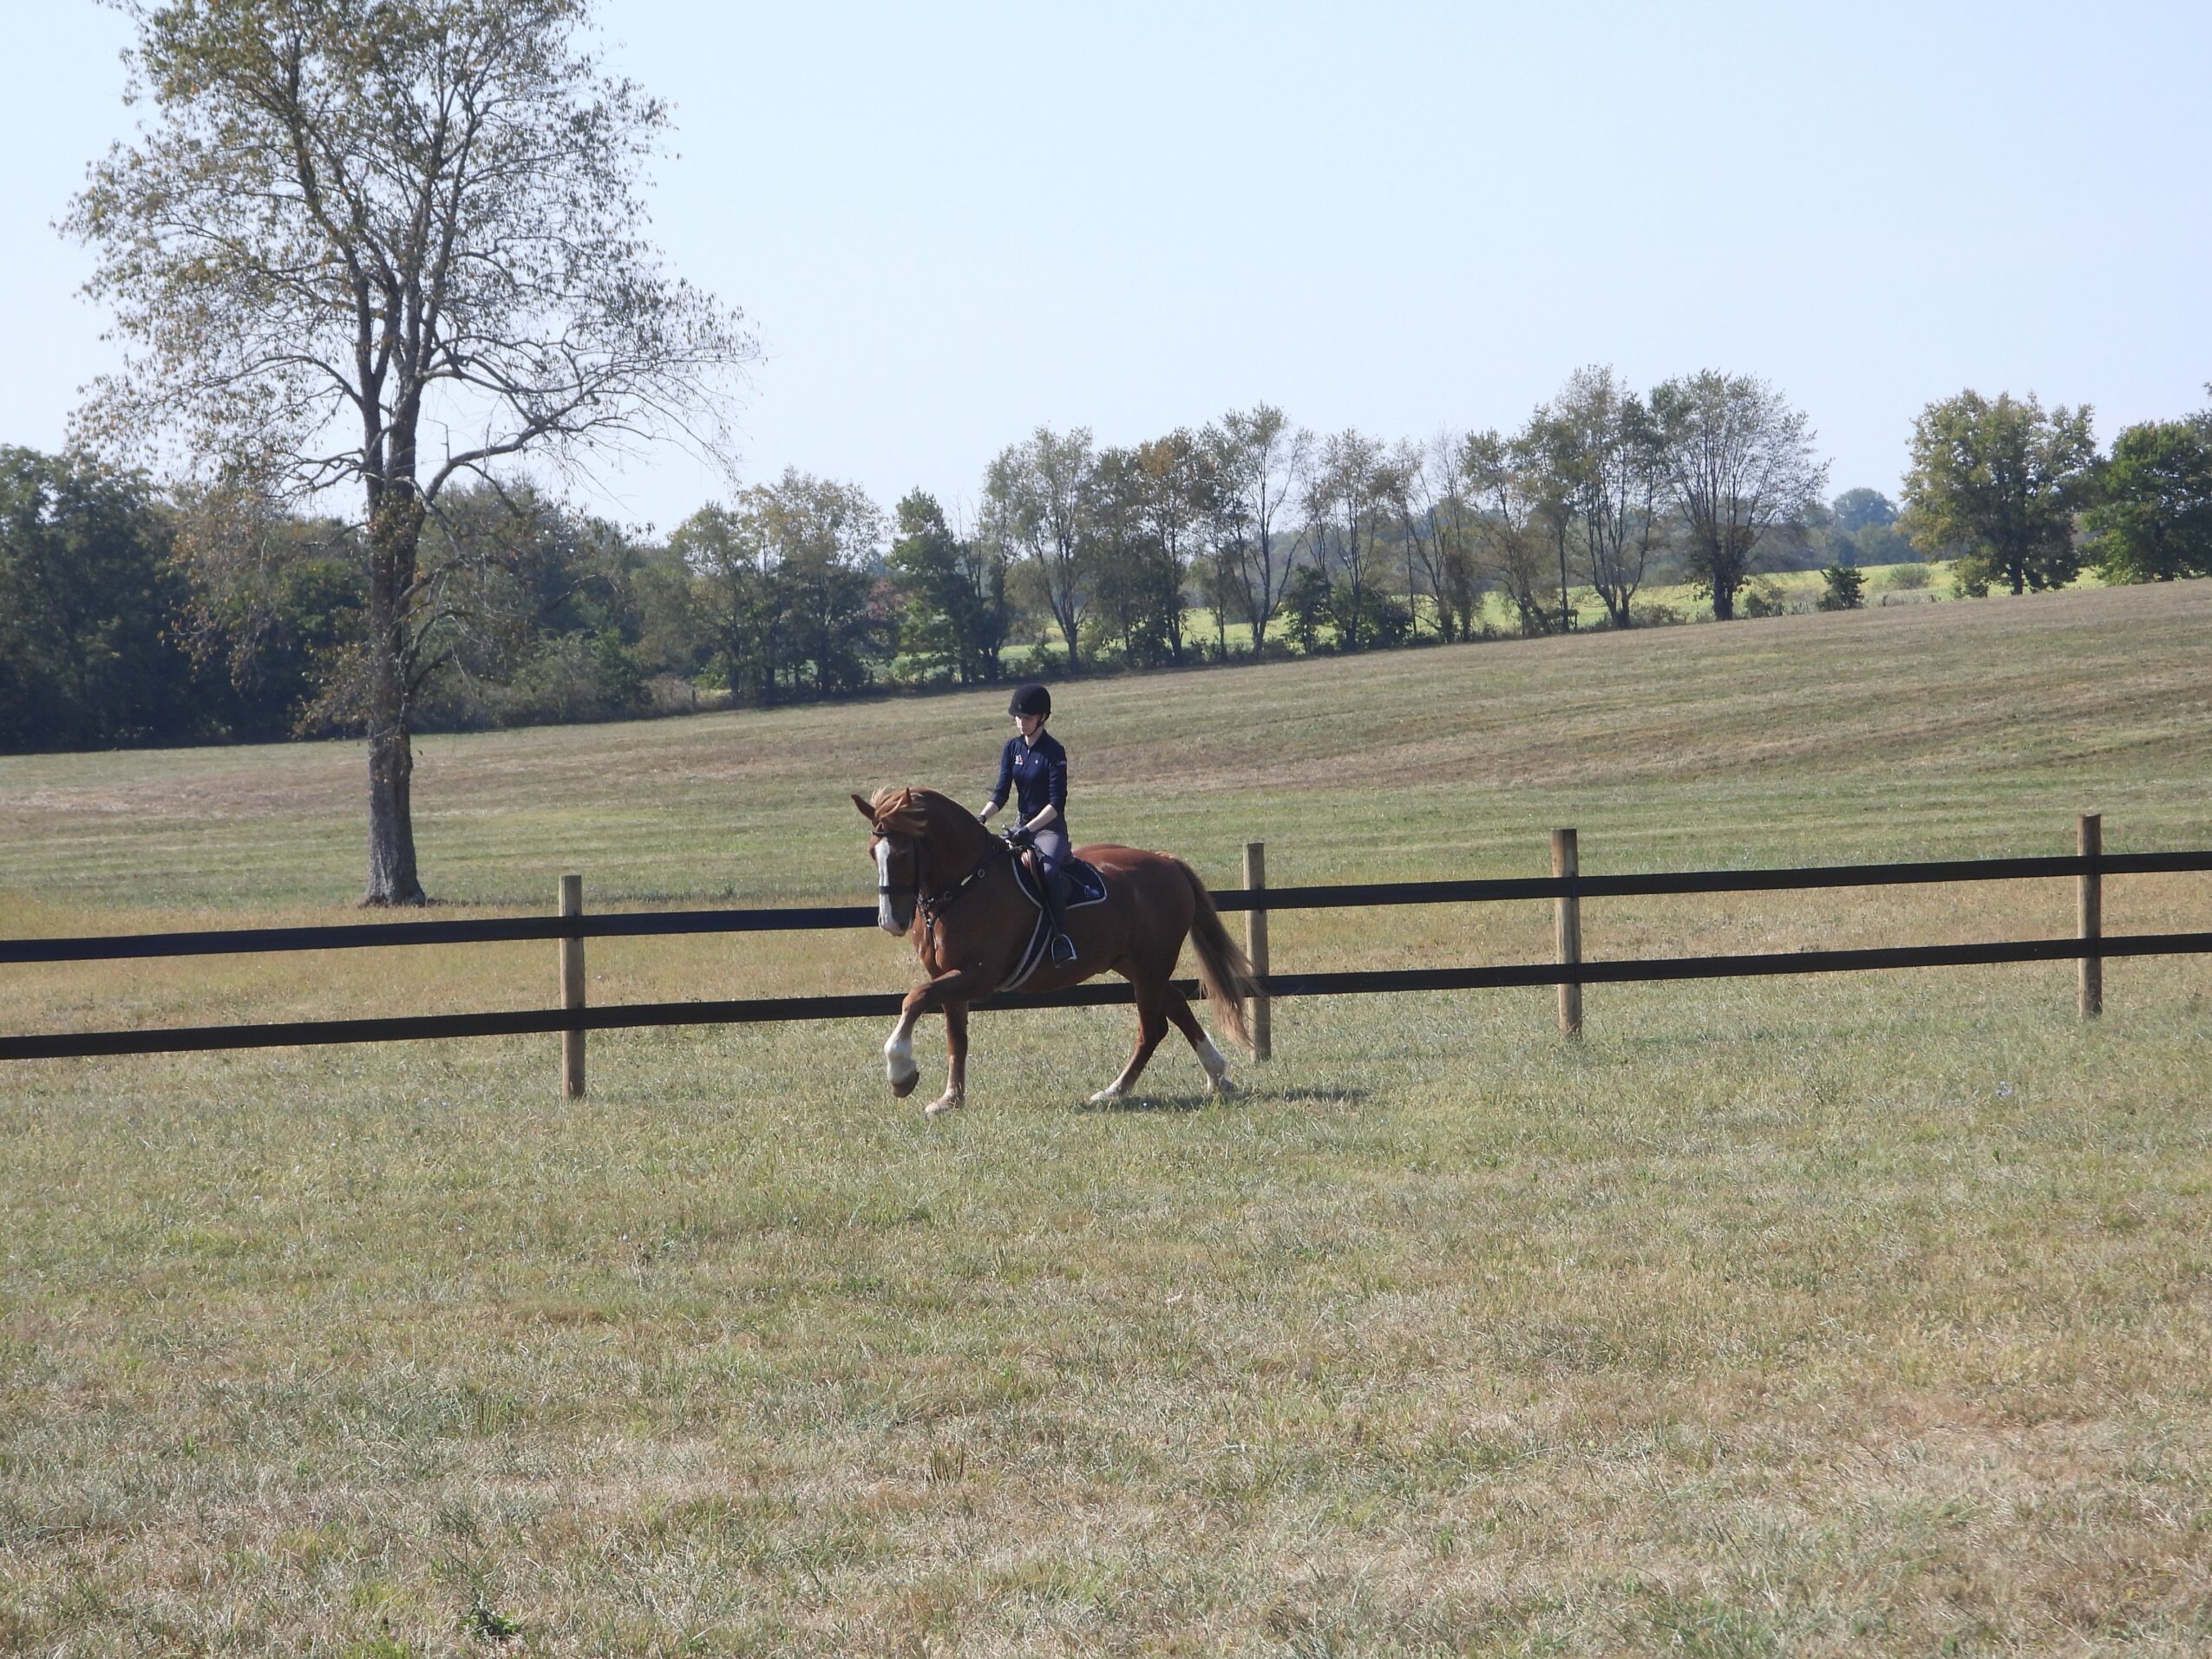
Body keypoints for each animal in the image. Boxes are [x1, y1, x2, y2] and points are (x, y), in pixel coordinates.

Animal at [852, 786, 1258, 1115]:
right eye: (873, 853)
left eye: (902, 852)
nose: (891, 921)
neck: (966, 885)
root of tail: (1166, 861)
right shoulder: (949, 977)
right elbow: (956, 1038)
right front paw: (950, 1099)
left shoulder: (976, 976)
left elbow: (914, 999)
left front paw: (901, 1074)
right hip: (1136, 965)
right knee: (1175, 1004)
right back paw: (1216, 1075)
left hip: (1150, 966)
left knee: (1152, 1028)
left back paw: (1114, 1092)